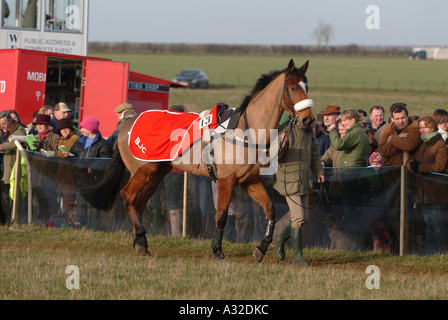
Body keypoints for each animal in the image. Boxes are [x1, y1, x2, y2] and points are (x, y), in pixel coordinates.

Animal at [85, 58, 316, 262]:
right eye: (293, 88)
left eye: (307, 87)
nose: (308, 119)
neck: (245, 131)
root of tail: (127, 122)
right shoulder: (226, 181)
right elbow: (221, 214)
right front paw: (218, 250)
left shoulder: (250, 181)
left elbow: (270, 209)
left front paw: (261, 247)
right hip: (143, 171)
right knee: (127, 196)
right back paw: (141, 239)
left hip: (156, 174)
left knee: (138, 203)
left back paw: (141, 244)